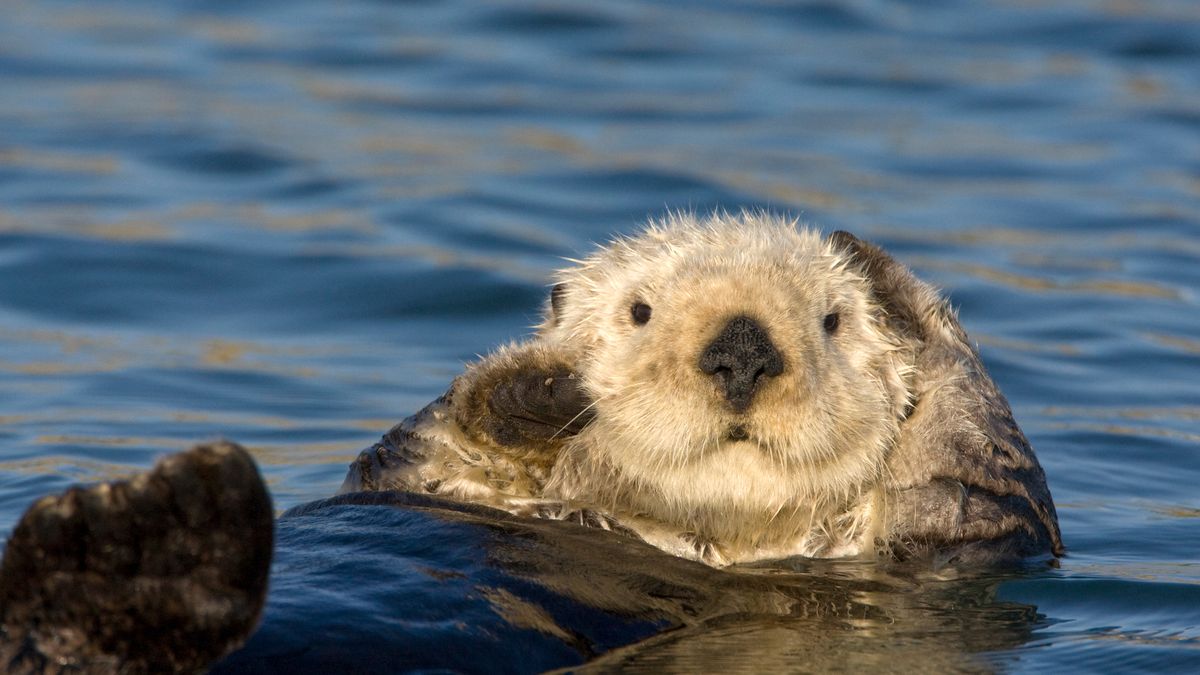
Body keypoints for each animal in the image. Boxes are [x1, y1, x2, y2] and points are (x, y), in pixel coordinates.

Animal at [346, 212, 1063, 567]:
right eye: (640, 311)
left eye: (833, 320)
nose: (741, 355)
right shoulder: (427, 479)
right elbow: (408, 454)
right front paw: (538, 388)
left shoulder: (970, 538)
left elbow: (983, 469)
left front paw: (883, 277)